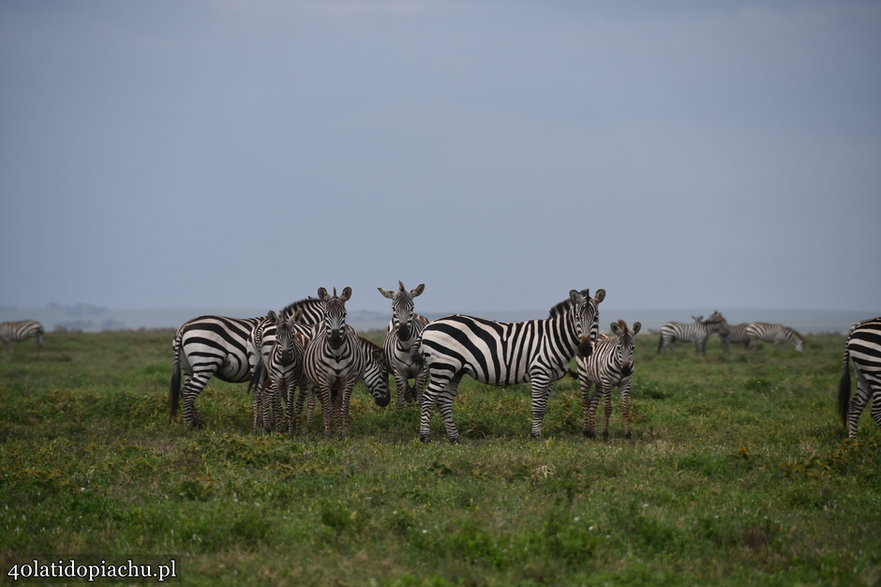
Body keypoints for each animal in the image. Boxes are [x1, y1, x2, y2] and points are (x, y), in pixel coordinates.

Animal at [304, 288, 390, 438]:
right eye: (384, 373)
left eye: (344, 314)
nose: (335, 340)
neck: (337, 354)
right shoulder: (324, 381)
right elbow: (327, 406)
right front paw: (327, 433)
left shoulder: (347, 381)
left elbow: (343, 407)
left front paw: (343, 432)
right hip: (313, 380)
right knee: (314, 401)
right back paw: (311, 425)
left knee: (336, 404)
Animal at [416, 288, 600, 444]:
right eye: (578, 319)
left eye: (596, 318)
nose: (585, 349)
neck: (554, 338)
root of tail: (428, 326)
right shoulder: (539, 373)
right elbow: (538, 407)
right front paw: (536, 436)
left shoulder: (551, 378)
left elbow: (543, 407)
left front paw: (538, 434)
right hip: (443, 367)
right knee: (428, 398)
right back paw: (425, 437)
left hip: (455, 371)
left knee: (444, 402)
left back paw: (454, 439)